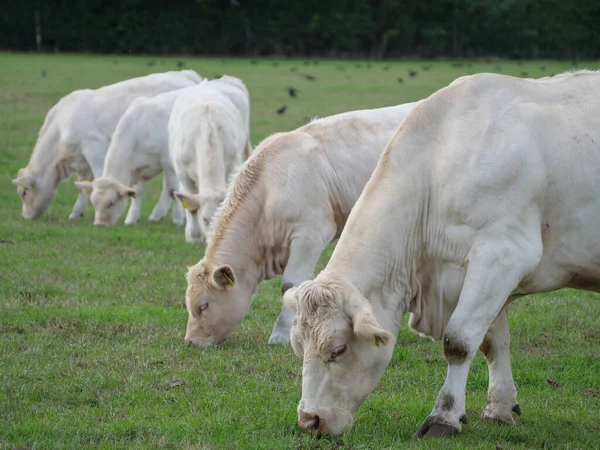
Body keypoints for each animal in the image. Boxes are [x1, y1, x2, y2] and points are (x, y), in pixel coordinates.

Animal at [11, 69, 203, 221]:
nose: (26, 216)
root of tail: (186, 75)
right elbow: (83, 186)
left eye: (24, 193)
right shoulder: (81, 162)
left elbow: (99, 177)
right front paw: (76, 213)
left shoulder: (94, 147)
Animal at [284, 69, 600, 436]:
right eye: (298, 346)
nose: (309, 420)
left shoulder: (503, 254)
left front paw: (444, 415)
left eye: (338, 349)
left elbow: (459, 341)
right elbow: (494, 342)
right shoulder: (486, 274)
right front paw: (499, 408)